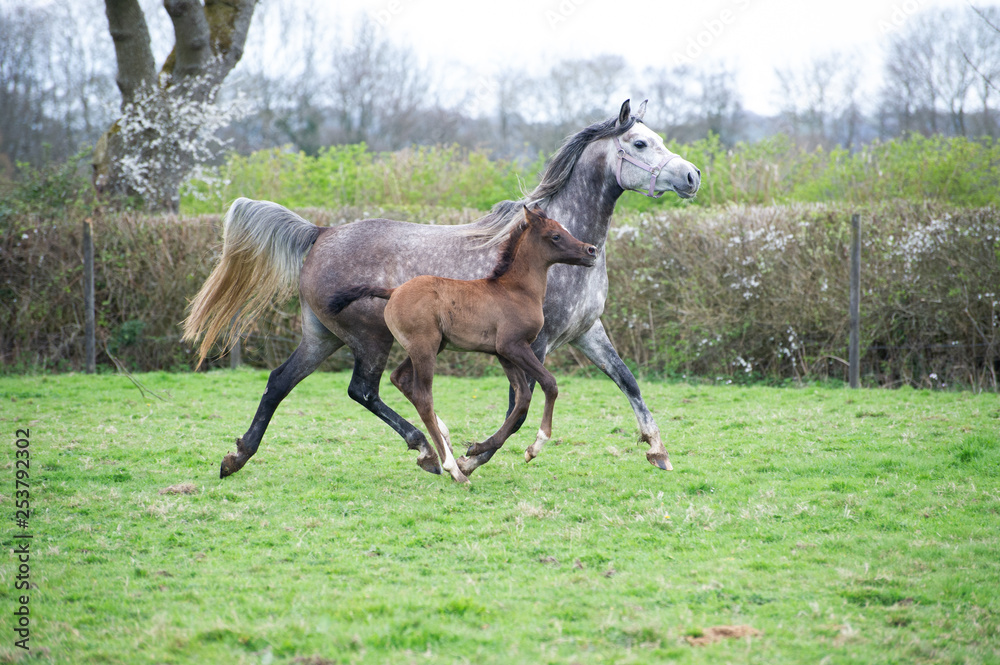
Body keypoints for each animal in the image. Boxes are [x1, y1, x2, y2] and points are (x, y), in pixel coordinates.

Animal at [330, 208, 592, 482]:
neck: (516, 290)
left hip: (432, 347)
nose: (591, 250)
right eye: (555, 235)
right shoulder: (513, 346)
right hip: (425, 348)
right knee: (423, 397)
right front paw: (535, 447)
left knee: (400, 378)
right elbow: (549, 384)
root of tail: (393, 291)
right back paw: (451, 468)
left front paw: (476, 448)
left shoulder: (503, 353)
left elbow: (522, 398)